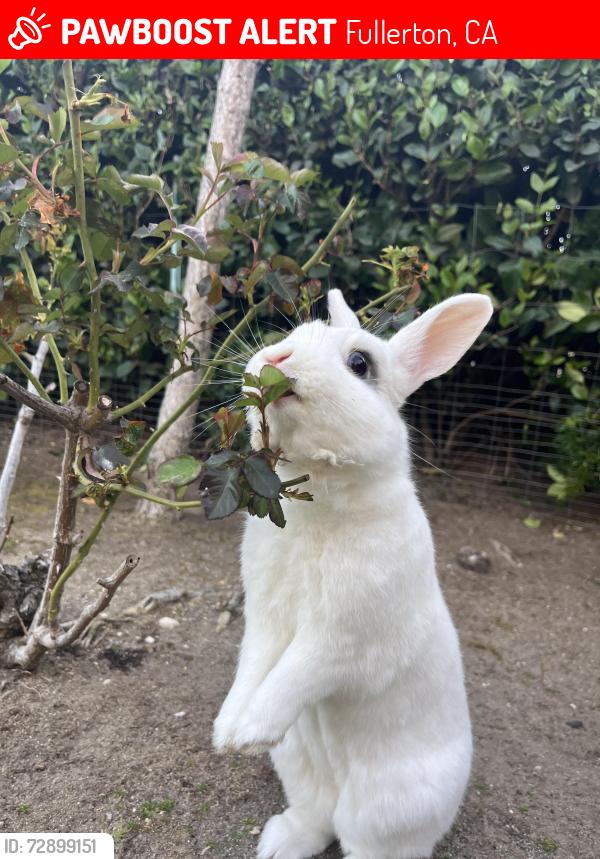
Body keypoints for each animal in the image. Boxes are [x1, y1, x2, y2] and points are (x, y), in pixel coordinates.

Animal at [213, 289, 493, 859]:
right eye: (295, 334)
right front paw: (228, 733)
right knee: (316, 818)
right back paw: (279, 843)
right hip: (298, 763)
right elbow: (253, 666)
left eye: (360, 363)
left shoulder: (346, 640)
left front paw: (251, 732)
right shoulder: (266, 621)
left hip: (388, 810)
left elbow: (296, 673)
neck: (317, 505)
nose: (276, 357)